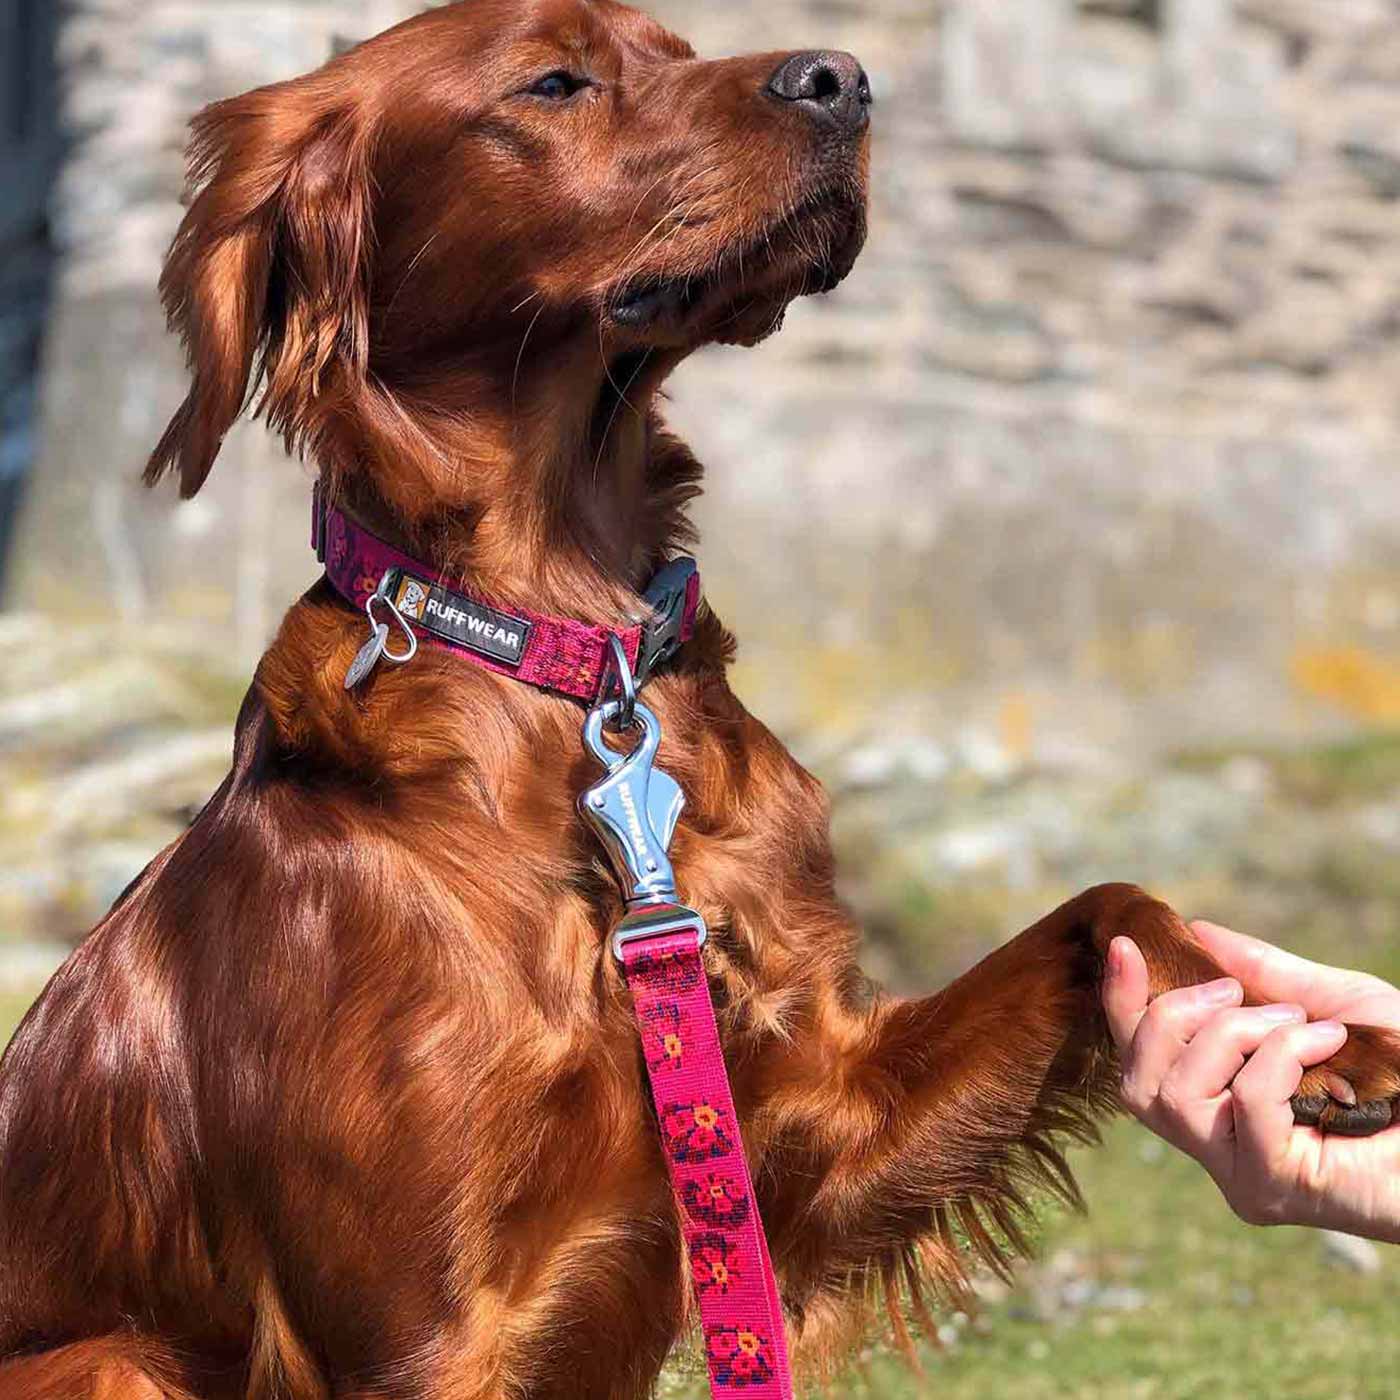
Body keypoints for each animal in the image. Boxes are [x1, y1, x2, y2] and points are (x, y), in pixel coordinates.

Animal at [3, 2, 1398, 1396]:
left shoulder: (816, 1129)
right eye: (552, 80)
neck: (572, 654)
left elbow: (1107, 902)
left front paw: (1313, 1037)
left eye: (677, 48)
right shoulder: (418, 1329)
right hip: (107, 1359)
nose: (844, 79)